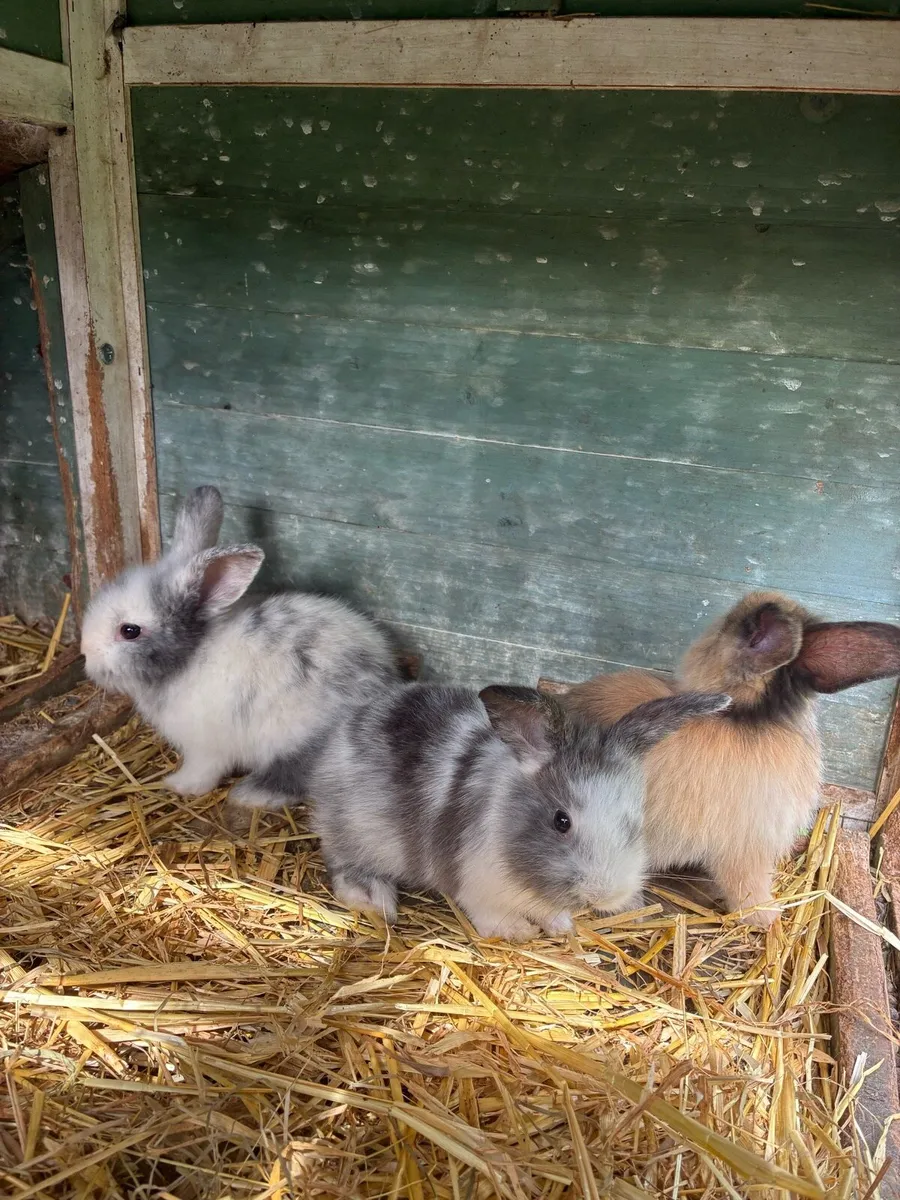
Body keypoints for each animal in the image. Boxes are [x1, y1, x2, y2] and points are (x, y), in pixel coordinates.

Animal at [80, 485, 402, 809]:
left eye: (129, 631)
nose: (84, 653)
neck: (190, 655)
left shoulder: (205, 748)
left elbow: (203, 772)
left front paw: (178, 785)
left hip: (294, 739)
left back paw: (250, 795)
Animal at [255, 681, 731, 940]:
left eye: (635, 821)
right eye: (561, 821)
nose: (605, 895)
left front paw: (560, 926)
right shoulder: (475, 884)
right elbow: (489, 915)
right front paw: (518, 931)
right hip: (355, 834)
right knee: (343, 866)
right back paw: (377, 900)